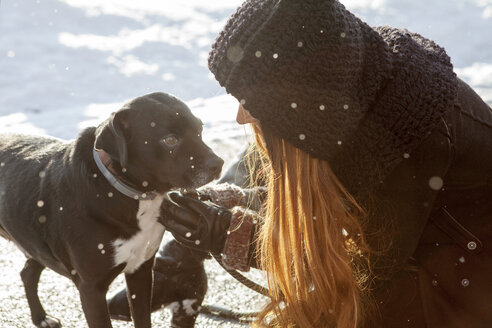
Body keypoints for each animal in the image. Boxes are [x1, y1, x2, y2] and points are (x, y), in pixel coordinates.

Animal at [0, 93, 223, 328]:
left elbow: (142, 318)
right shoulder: (91, 289)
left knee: (27, 273)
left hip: (38, 245)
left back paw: (40, 317)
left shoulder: (141, 270)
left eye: (200, 129)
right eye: (170, 140)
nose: (219, 164)